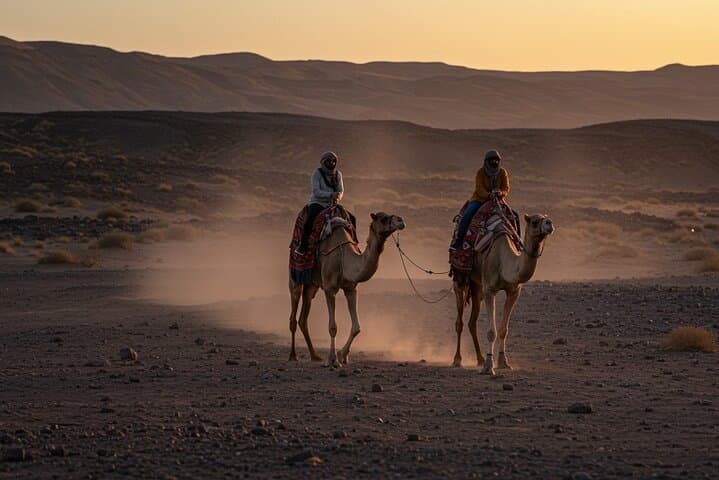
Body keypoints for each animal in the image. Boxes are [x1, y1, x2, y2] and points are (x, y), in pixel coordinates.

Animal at [289, 211, 405, 367]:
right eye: (383, 218)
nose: (401, 220)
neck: (344, 259)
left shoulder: (351, 289)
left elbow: (356, 327)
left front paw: (342, 355)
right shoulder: (329, 289)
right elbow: (332, 327)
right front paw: (332, 359)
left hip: (312, 284)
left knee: (303, 318)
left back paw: (315, 356)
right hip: (295, 276)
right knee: (293, 315)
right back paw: (293, 356)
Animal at [452, 210, 554, 375]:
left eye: (546, 218)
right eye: (534, 221)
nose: (549, 224)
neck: (504, 262)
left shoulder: (514, 292)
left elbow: (503, 330)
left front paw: (503, 362)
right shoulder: (490, 290)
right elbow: (491, 332)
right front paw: (489, 366)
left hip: (477, 286)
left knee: (472, 322)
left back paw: (479, 359)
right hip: (460, 279)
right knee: (459, 322)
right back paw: (457, 359)